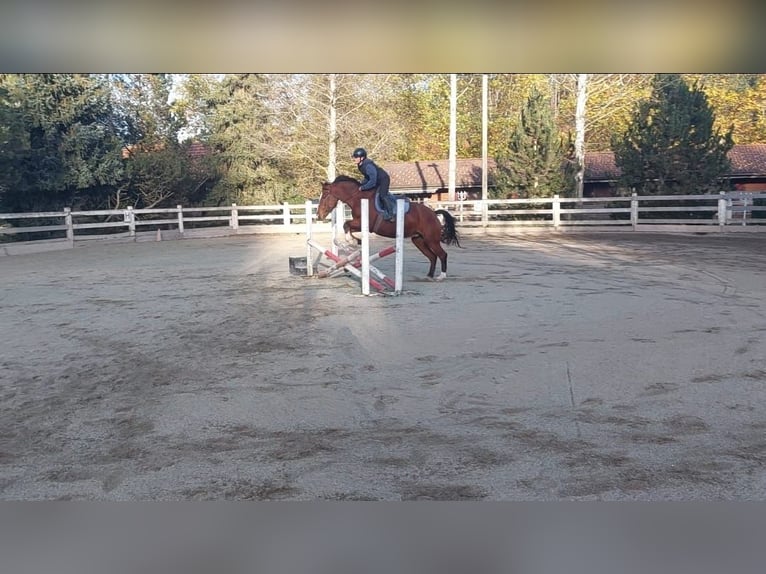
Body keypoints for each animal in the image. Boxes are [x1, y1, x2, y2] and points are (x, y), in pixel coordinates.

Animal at [314, 177, 460, 282]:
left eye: (325, 196)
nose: (318, 216)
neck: (357, 198)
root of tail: (434, 213)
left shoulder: (366, 223)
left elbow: (346, 224)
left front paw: (351, 241)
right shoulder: (359, 224)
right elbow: (348, 226)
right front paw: (356, 241)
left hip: (431, 240)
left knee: (442, 255)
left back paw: (441, 276)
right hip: (419, 240)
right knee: (432, 257)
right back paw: (429, 275)